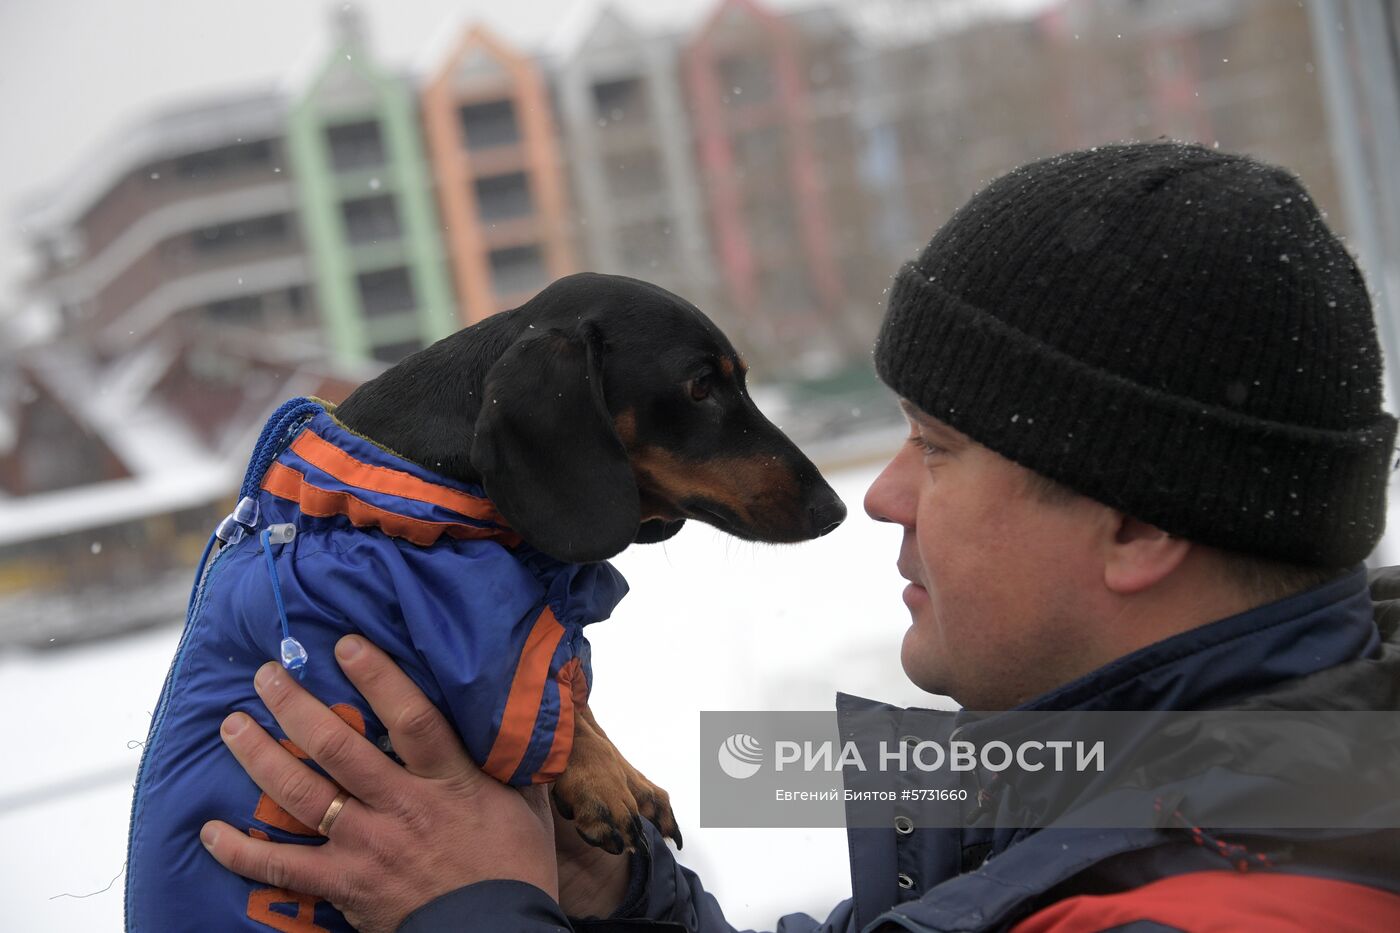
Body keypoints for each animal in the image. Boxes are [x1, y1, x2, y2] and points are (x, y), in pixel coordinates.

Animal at [126, 273, 840, 924]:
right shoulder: (469, 647)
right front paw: (600, 780)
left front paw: (626, 778)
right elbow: (543, 713)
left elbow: (572, 697)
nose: (832, 509)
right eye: (699, 386)